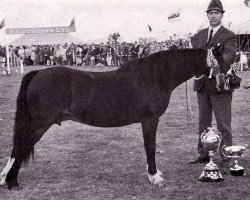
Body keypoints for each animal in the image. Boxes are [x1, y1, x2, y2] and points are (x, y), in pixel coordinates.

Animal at [0, 47, 216, 188]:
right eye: (221, 56)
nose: (225, 77)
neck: (156, 76)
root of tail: (38, 73)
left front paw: (153, 173)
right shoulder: (150, 119)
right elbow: (150, 147)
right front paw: (154, 177)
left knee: (18, 147)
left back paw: (4, 178)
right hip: (40, 124)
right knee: (21, 146)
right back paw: (11, 181)